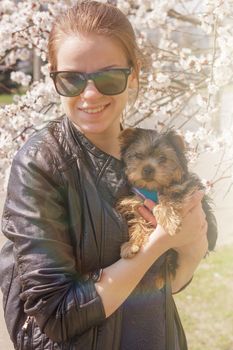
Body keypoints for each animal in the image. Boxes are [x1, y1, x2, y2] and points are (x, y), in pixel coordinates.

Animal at [117, 129, 218, 288]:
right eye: (138, 155)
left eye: (163, 158)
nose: (147, 169)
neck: (152, 188)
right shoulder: (137, 201)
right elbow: (138, 222)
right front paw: (131, 244)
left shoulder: (184, 187)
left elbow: (167, 198)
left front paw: (170, 221)